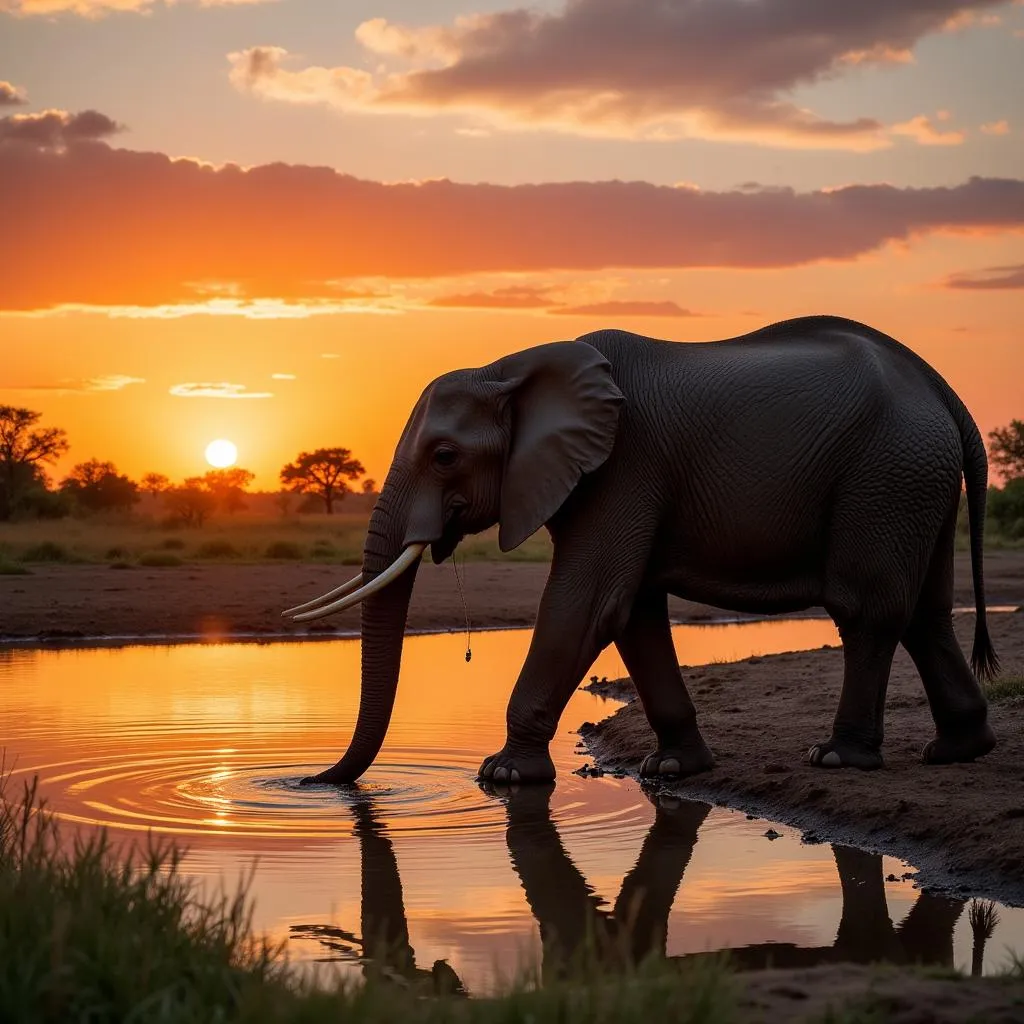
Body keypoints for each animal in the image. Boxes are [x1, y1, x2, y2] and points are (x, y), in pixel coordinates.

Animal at [284, 315, 995, 786]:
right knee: (926, 612)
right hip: (914, 479)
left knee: (866, 609)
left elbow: (588, 602)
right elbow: (632, 611)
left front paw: (503, 776)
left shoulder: (624, 467)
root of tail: (942, 392)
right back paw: (958, 751)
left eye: (444, 456)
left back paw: (840, 758)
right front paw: (674, 766)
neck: (512, 368)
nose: (307, 782)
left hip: (885, 475)